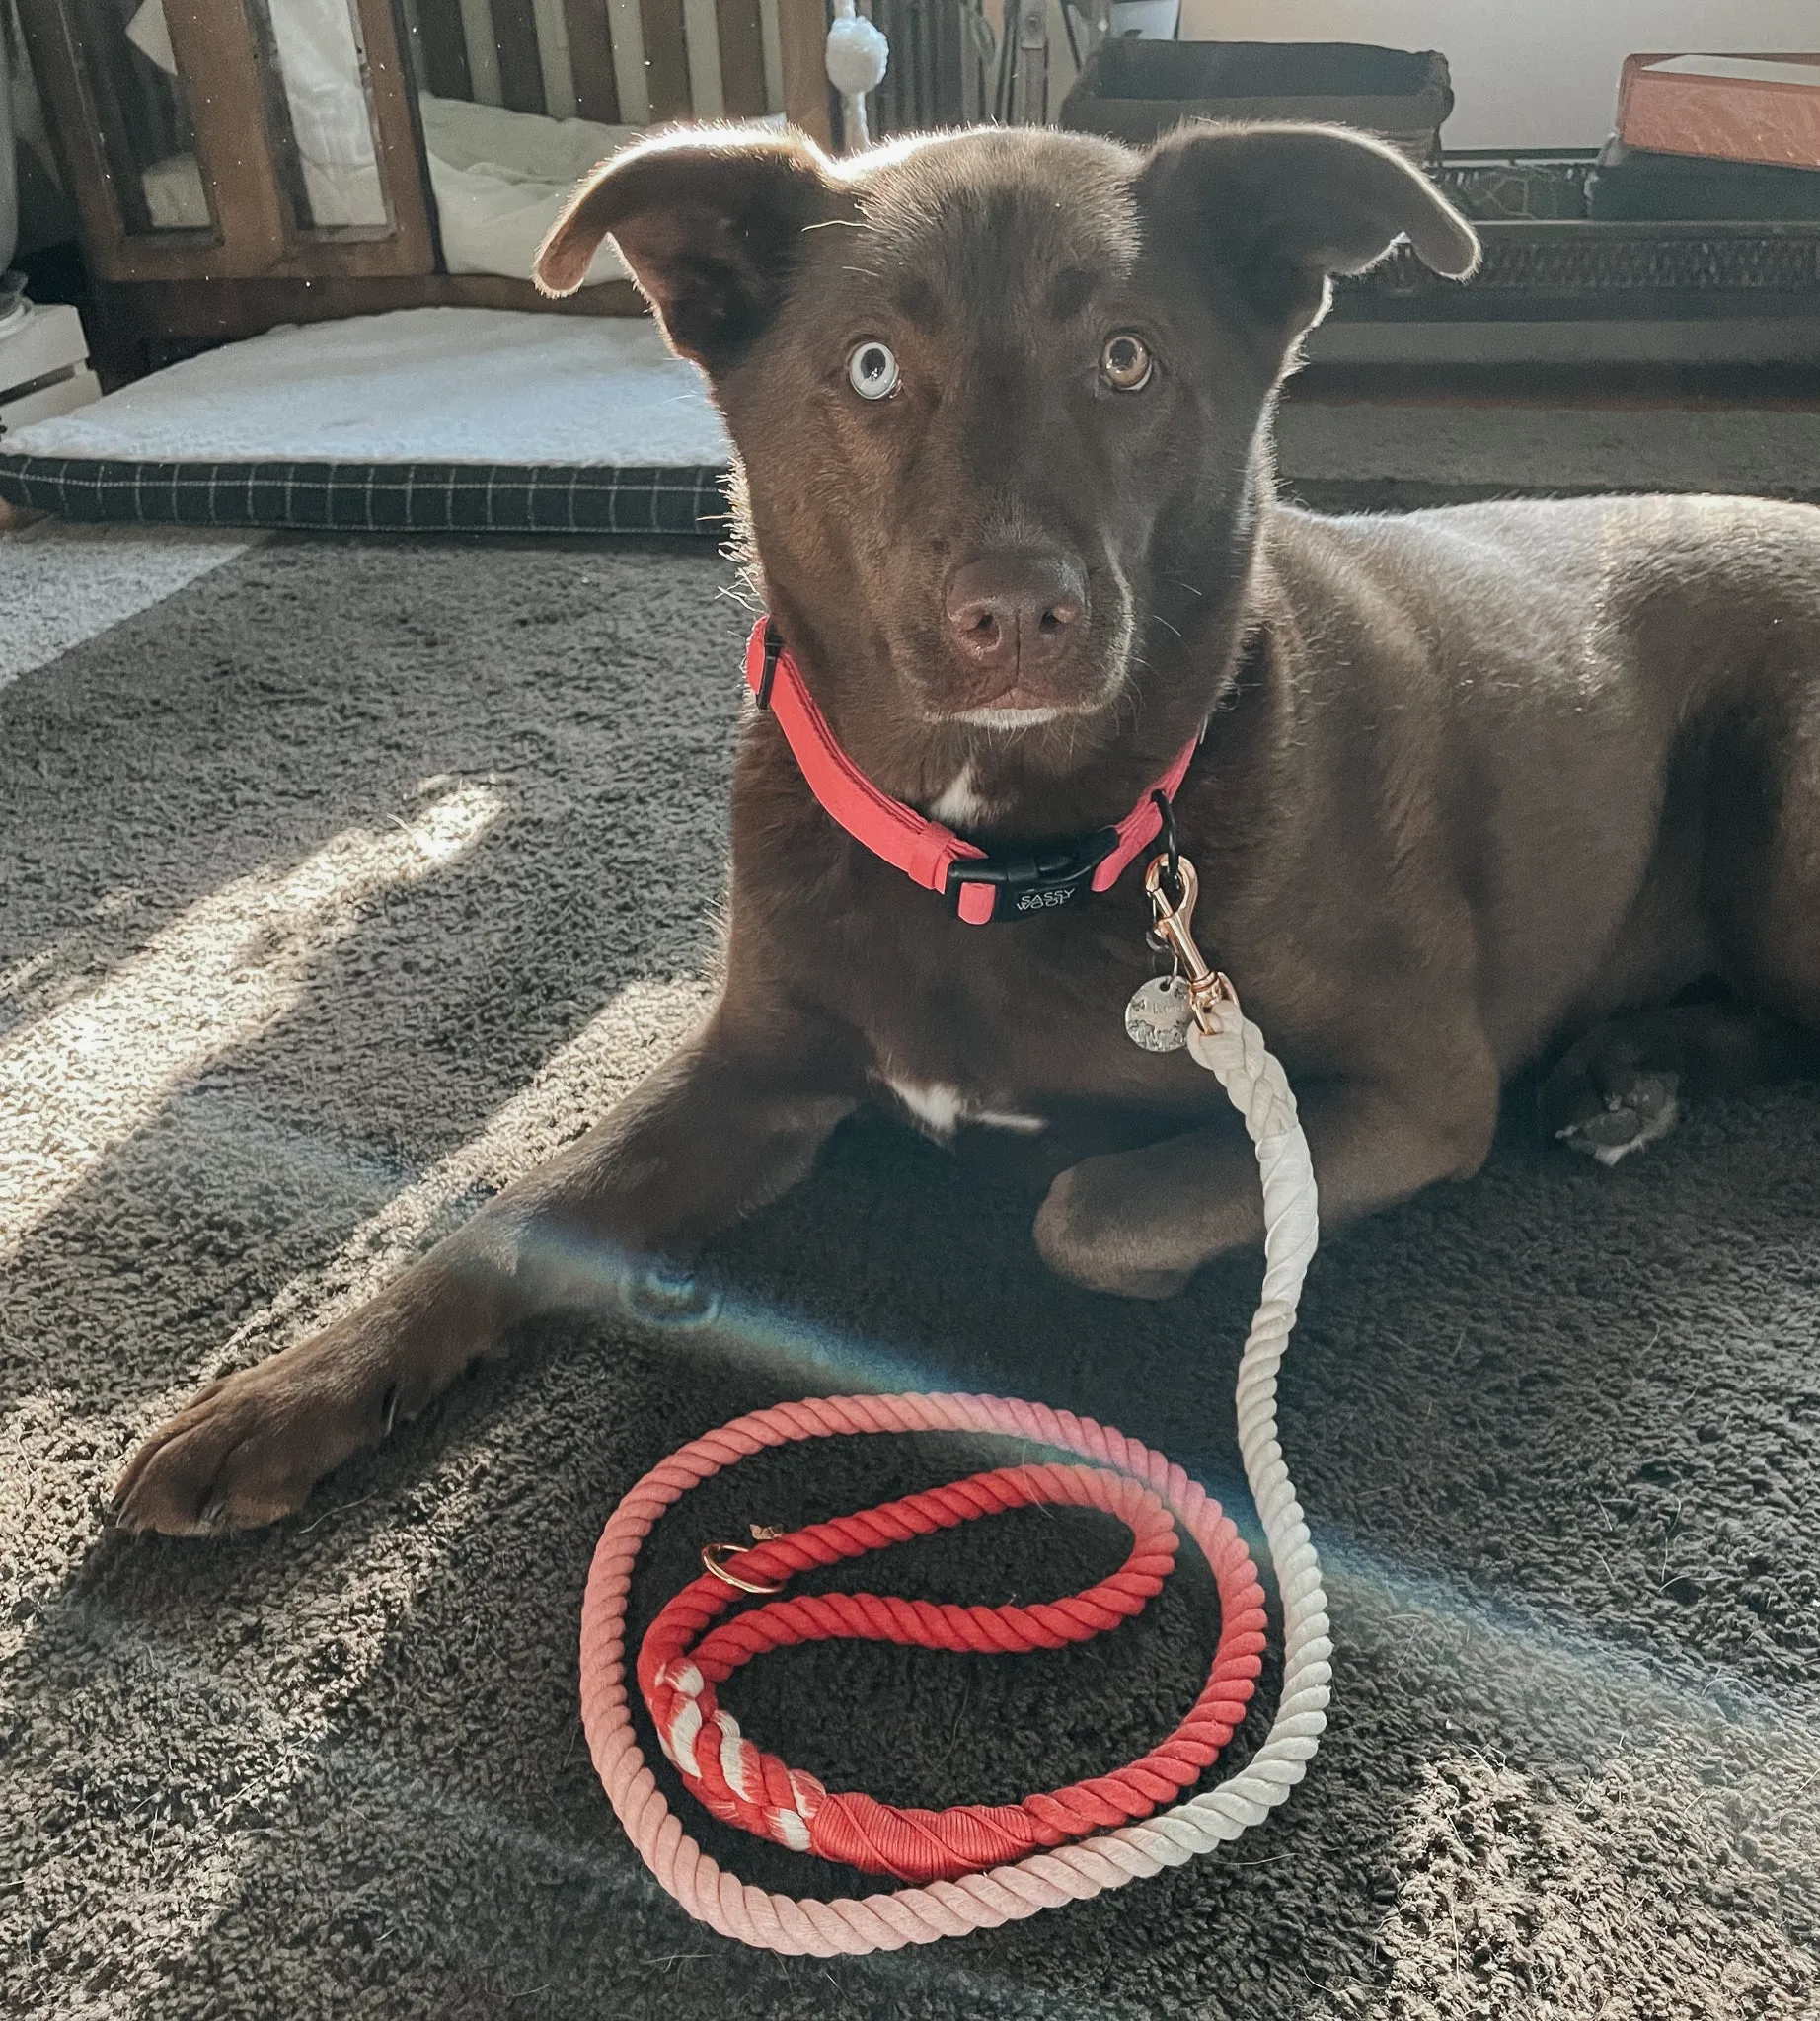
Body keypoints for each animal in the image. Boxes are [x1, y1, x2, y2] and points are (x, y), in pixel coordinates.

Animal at [116, 121, 1820, 1528]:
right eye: (872, 367)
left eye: (1127, 360)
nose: (1017, 617)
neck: (985, 852)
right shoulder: (754, 1066)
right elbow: (519, 1208)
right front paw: (287, 1394)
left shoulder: (1420, 1090)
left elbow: (1091, 1205)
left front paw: (1138, 1241)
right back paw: (1630, 1075)